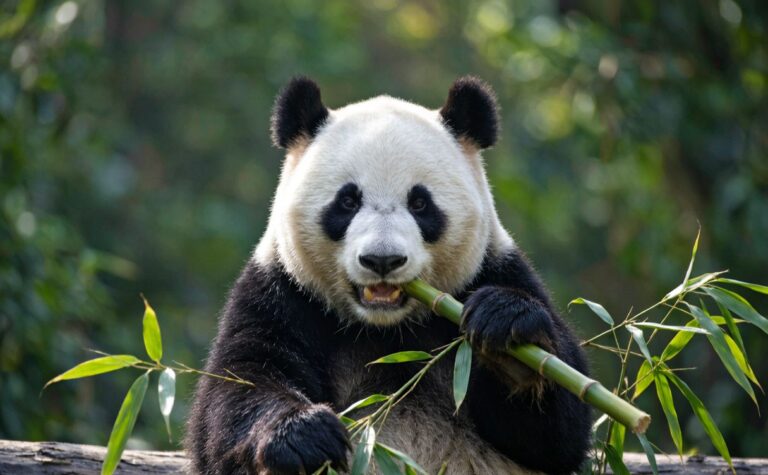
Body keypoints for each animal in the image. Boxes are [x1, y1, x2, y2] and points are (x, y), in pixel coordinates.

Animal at [186, 76, 592, 475]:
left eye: (420, 203)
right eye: (348, 201)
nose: (383, 260)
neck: (385, 330)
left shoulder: (492, 270)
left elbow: (557, 431)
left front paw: (507, 333)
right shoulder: (281, 292)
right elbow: (235, 390)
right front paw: (303, 435)